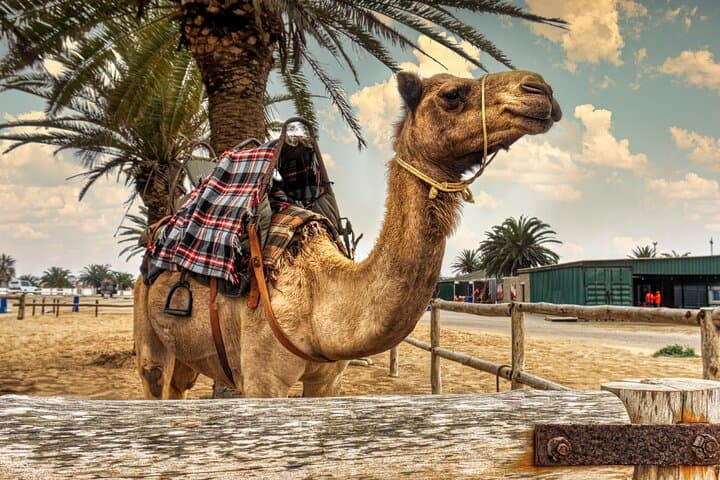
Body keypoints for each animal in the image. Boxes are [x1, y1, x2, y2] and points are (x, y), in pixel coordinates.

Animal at [133, 70, 562, 399]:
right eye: (452, 94)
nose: (541, 89)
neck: (318, 292)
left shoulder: (328, 378)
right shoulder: (261, 379)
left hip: (189, 357)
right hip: (150, 340)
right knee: (156, 380)